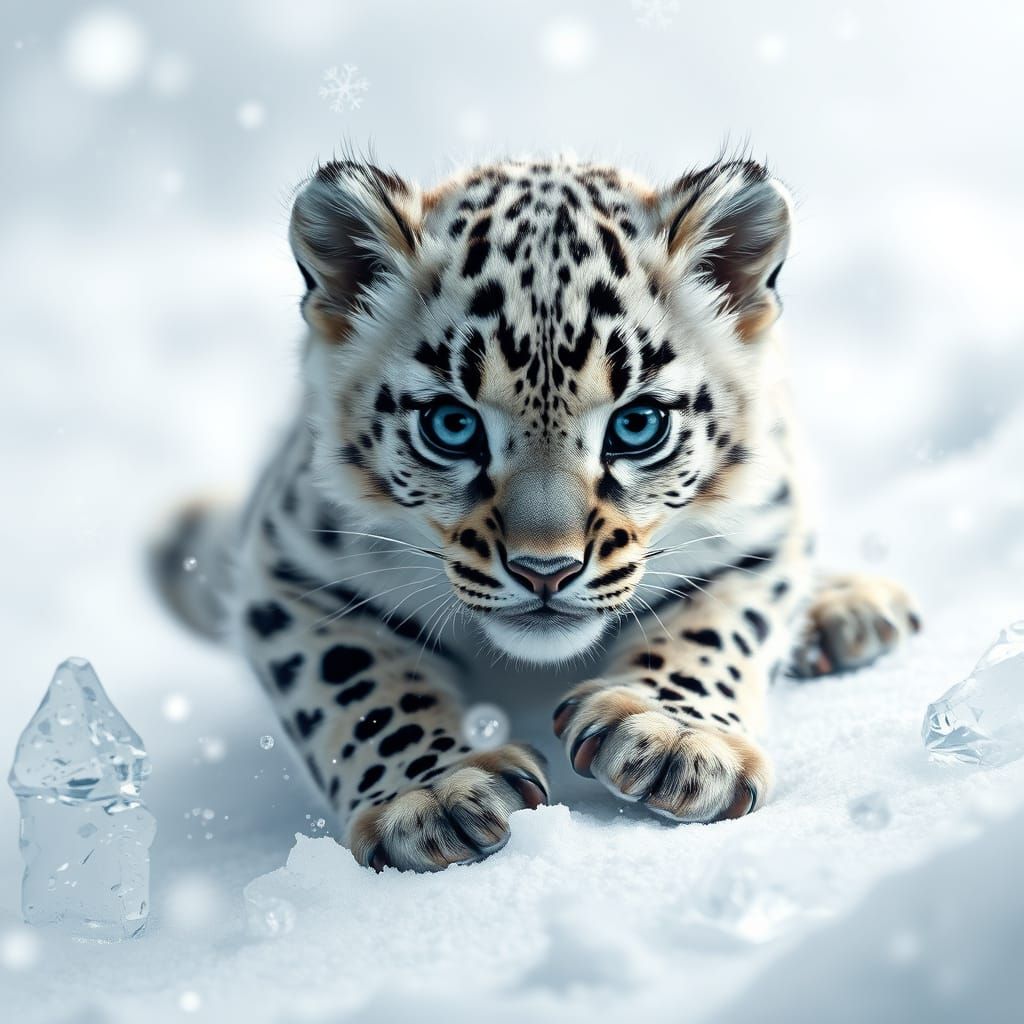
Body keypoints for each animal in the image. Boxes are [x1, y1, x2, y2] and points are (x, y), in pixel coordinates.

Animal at [150, 153, 921, 873]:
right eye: (451, 425)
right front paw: (434, 794)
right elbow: (357, 681)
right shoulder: (289, 565)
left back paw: (853, 609)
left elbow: (720, 623)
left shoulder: (766, 526)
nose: (544, 571)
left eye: (637, 424)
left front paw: (673, 739)